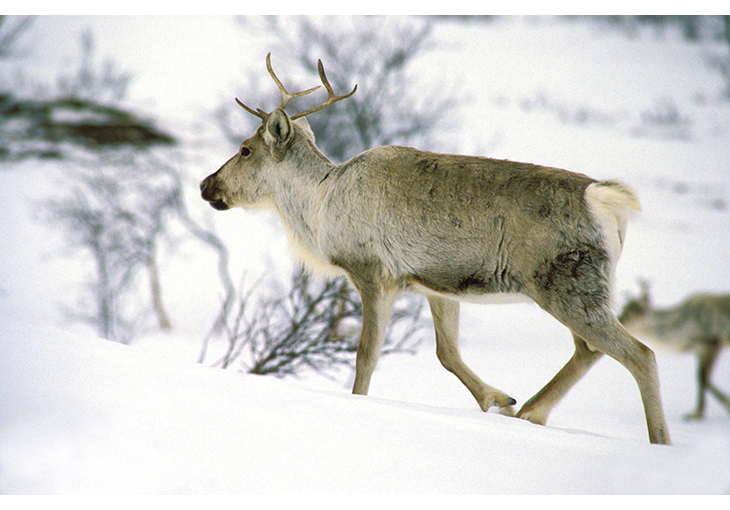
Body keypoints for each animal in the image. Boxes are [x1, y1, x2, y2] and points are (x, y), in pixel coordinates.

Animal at [200, 54, 670, 445]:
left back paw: (657, 441)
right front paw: (498, 399)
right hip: (580, 286)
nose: (207, 184)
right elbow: (447, 353)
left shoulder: (373, 274)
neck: (319, 208)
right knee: (589, 350)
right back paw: (530, 412)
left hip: (566, 285)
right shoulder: (437, 285)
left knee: (639, 354)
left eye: (245, 149)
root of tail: (606, 200)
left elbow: (366, 357)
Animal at [620, 283, 730, 421]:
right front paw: (697, 413)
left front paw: (724, 405)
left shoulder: (713, 343)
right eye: (623, 308)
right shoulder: (699, 349)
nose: (619, 320)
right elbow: (701, 378)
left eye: (629, 313)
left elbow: (703, 378)